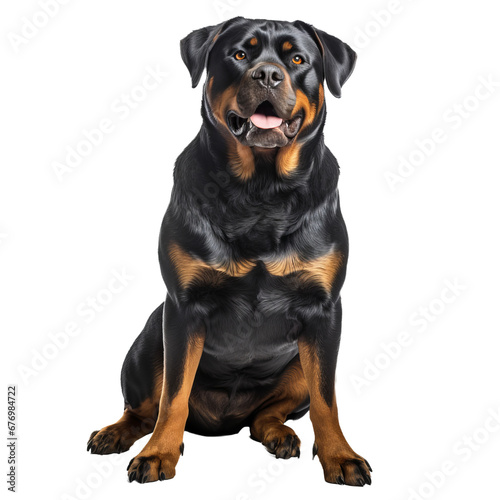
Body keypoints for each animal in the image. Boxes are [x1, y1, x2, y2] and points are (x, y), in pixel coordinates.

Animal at [87, 16, 372, 488]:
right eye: (240, 54)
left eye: (298, 59)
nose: (268, 74)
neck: (260, 190)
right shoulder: (183, 308)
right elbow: (173, 396)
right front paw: (158, 454)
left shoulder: (324, 310)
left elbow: (326, 398)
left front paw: (340, 456)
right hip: (147, 341)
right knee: (145, 407)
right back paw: (116, 433)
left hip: (295, 365)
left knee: (266, 415)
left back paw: (278, 434)